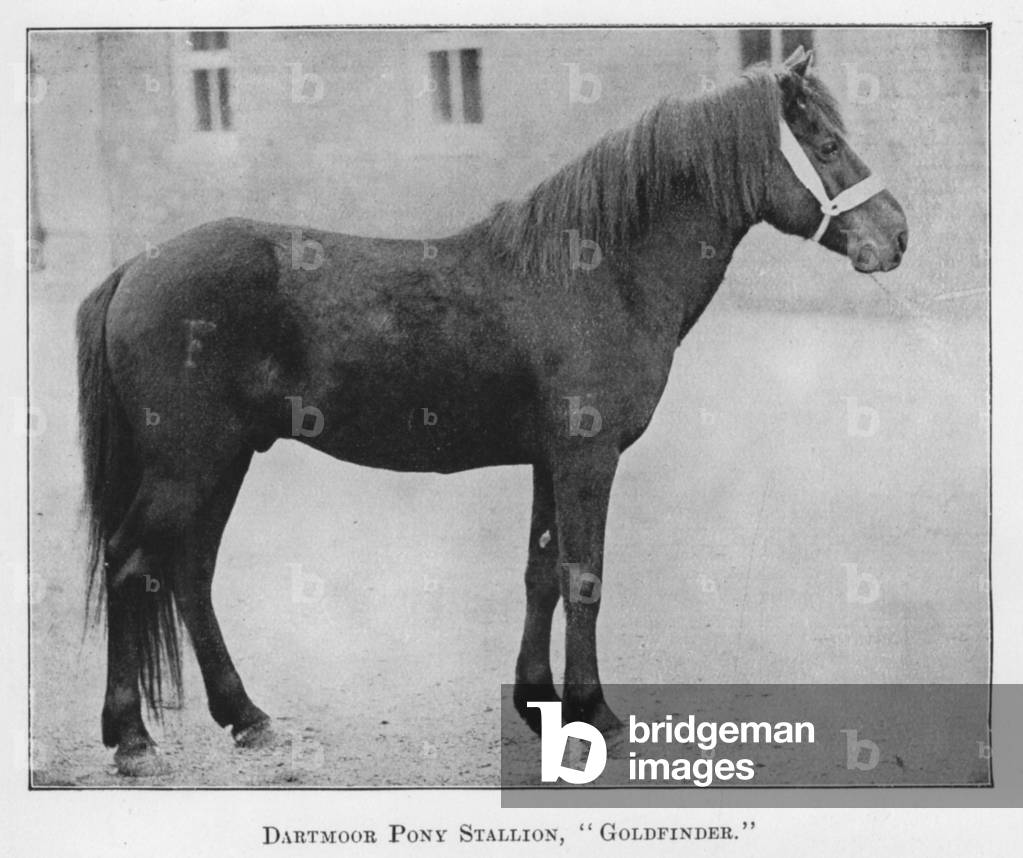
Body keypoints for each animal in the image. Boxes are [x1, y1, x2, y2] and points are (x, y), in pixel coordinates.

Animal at [75, 47, 907, 777]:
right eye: (826, 144)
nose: (896, 236)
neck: (597, 272)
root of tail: (135, 267)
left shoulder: (549, 460)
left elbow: (540, 573)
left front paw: (538, 703)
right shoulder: (586, 458)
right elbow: (583, 579)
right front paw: (593, 714)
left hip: (224, 460)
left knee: (189, 572)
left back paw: (246, 719)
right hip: (188, 462)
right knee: (130, 563)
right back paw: (133, 741)